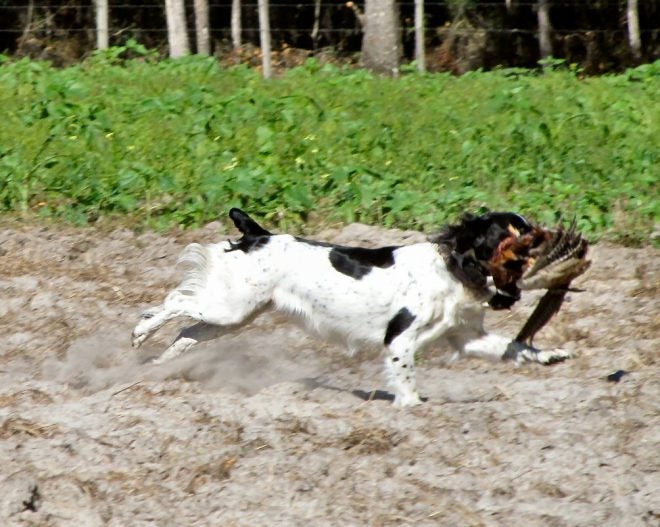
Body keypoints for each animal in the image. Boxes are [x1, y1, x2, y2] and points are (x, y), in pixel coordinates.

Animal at [133, 208, 572, 406]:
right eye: (514, 232)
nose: (552, 237)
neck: (454, 265)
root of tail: (259, 235)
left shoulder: (465, 337)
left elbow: (516, 347)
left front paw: (551, 355)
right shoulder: (400, 339)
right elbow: (406, 380)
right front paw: (412, 408)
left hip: (238, 314)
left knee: (188, 332)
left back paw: (159, 367)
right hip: (229, 307)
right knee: (175, 302)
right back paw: (140, 334)